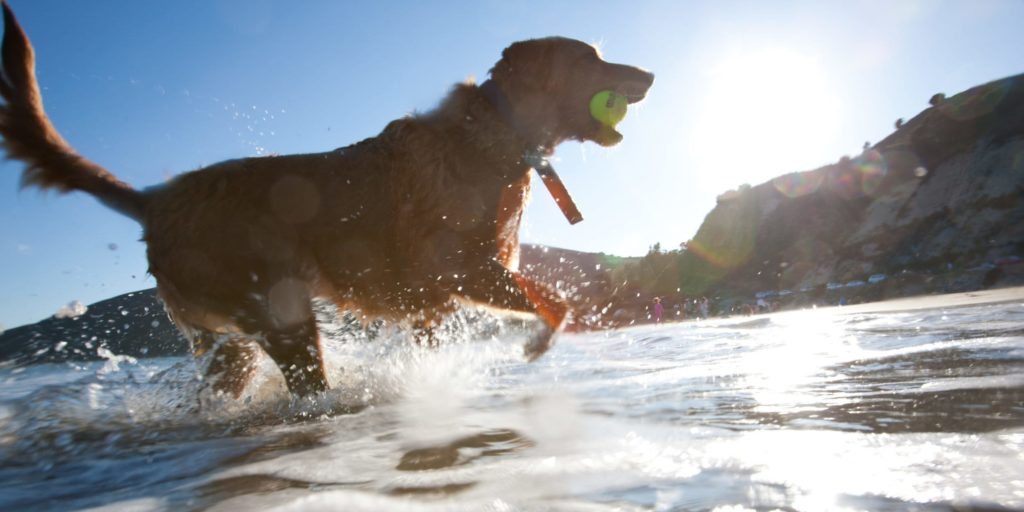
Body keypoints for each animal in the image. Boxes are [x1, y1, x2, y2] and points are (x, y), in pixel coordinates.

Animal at [0, 2, 651, 397]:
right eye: (590, 58)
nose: (648, 76)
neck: (499, 133)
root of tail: (155, 199)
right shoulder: (456, 265)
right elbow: (554, 304)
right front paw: (537, 342)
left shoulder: (435, 302)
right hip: (281, 312)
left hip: (235, 342)